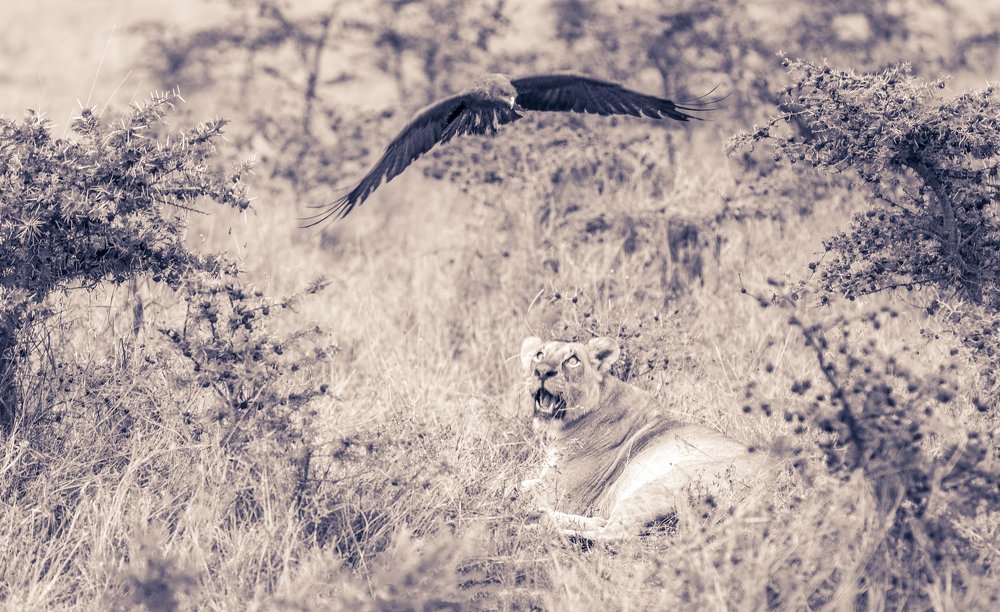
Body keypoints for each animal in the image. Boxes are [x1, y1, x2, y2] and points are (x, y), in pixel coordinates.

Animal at [520, 335, 776, 540]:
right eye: (539, 355)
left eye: (572, 360)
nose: (542, 371)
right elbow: (522, 484)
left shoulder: (559, 493)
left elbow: (517, 489)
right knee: (603, 523)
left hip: (665, 482)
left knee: (616, 534)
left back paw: (540, 527)